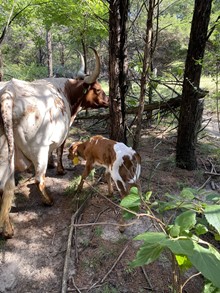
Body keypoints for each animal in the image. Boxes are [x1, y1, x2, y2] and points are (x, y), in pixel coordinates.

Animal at [0, 46, 108, 236]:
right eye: (97, 89)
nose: (109, 100)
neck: (66, 91)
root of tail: (9, 92)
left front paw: (52, 164)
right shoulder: (64, 132)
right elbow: (60, 148)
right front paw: (59, 169)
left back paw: (7, 229)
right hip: (38, 148)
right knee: (38, 179)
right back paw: (48, 200)